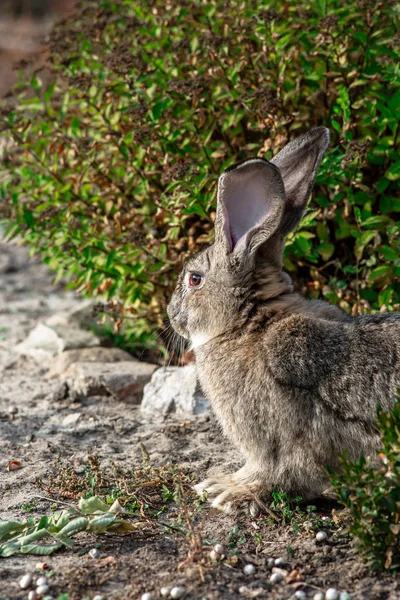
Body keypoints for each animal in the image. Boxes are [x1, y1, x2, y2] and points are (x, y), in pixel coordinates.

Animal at [166, 126, 400, 510]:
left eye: (194, 279)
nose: (172, 316)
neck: (249, 324)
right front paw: (222, 483)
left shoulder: (286, 441)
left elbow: (283, 474)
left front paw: (231, 492)